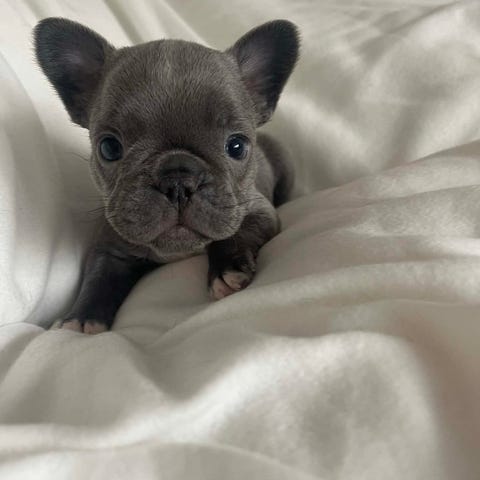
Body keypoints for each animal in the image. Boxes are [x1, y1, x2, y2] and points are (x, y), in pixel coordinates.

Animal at [34, 17, 299, 334]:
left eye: (237, 146)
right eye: (109, 147)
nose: (178, 182)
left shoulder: (259, 211)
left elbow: (237, 234)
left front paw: (227, 269)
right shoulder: (110, 246)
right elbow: (99, 276)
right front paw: (83, 315)